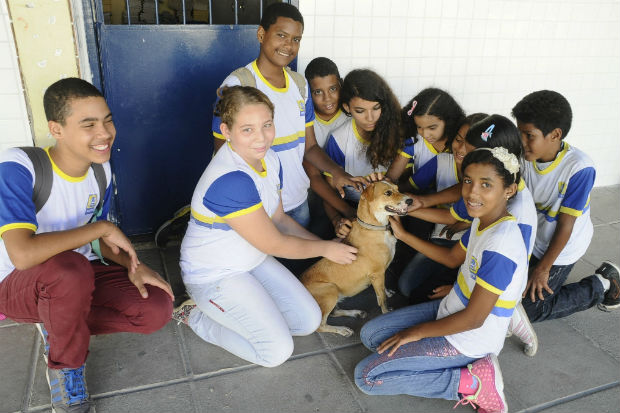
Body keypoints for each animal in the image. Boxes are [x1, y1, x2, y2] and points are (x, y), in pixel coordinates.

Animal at [300, 181, 412, 334]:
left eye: (397, 189)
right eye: (388, 193)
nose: (410, 200)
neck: (375, 228)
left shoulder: (380, 273)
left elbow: (382, 289)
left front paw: (388, 292)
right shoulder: (377, 273)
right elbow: (381, 298)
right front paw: (386, 312)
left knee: (334, 313)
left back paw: (356, 313)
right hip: (330, 290)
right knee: (321, 326)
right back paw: (342, 330)